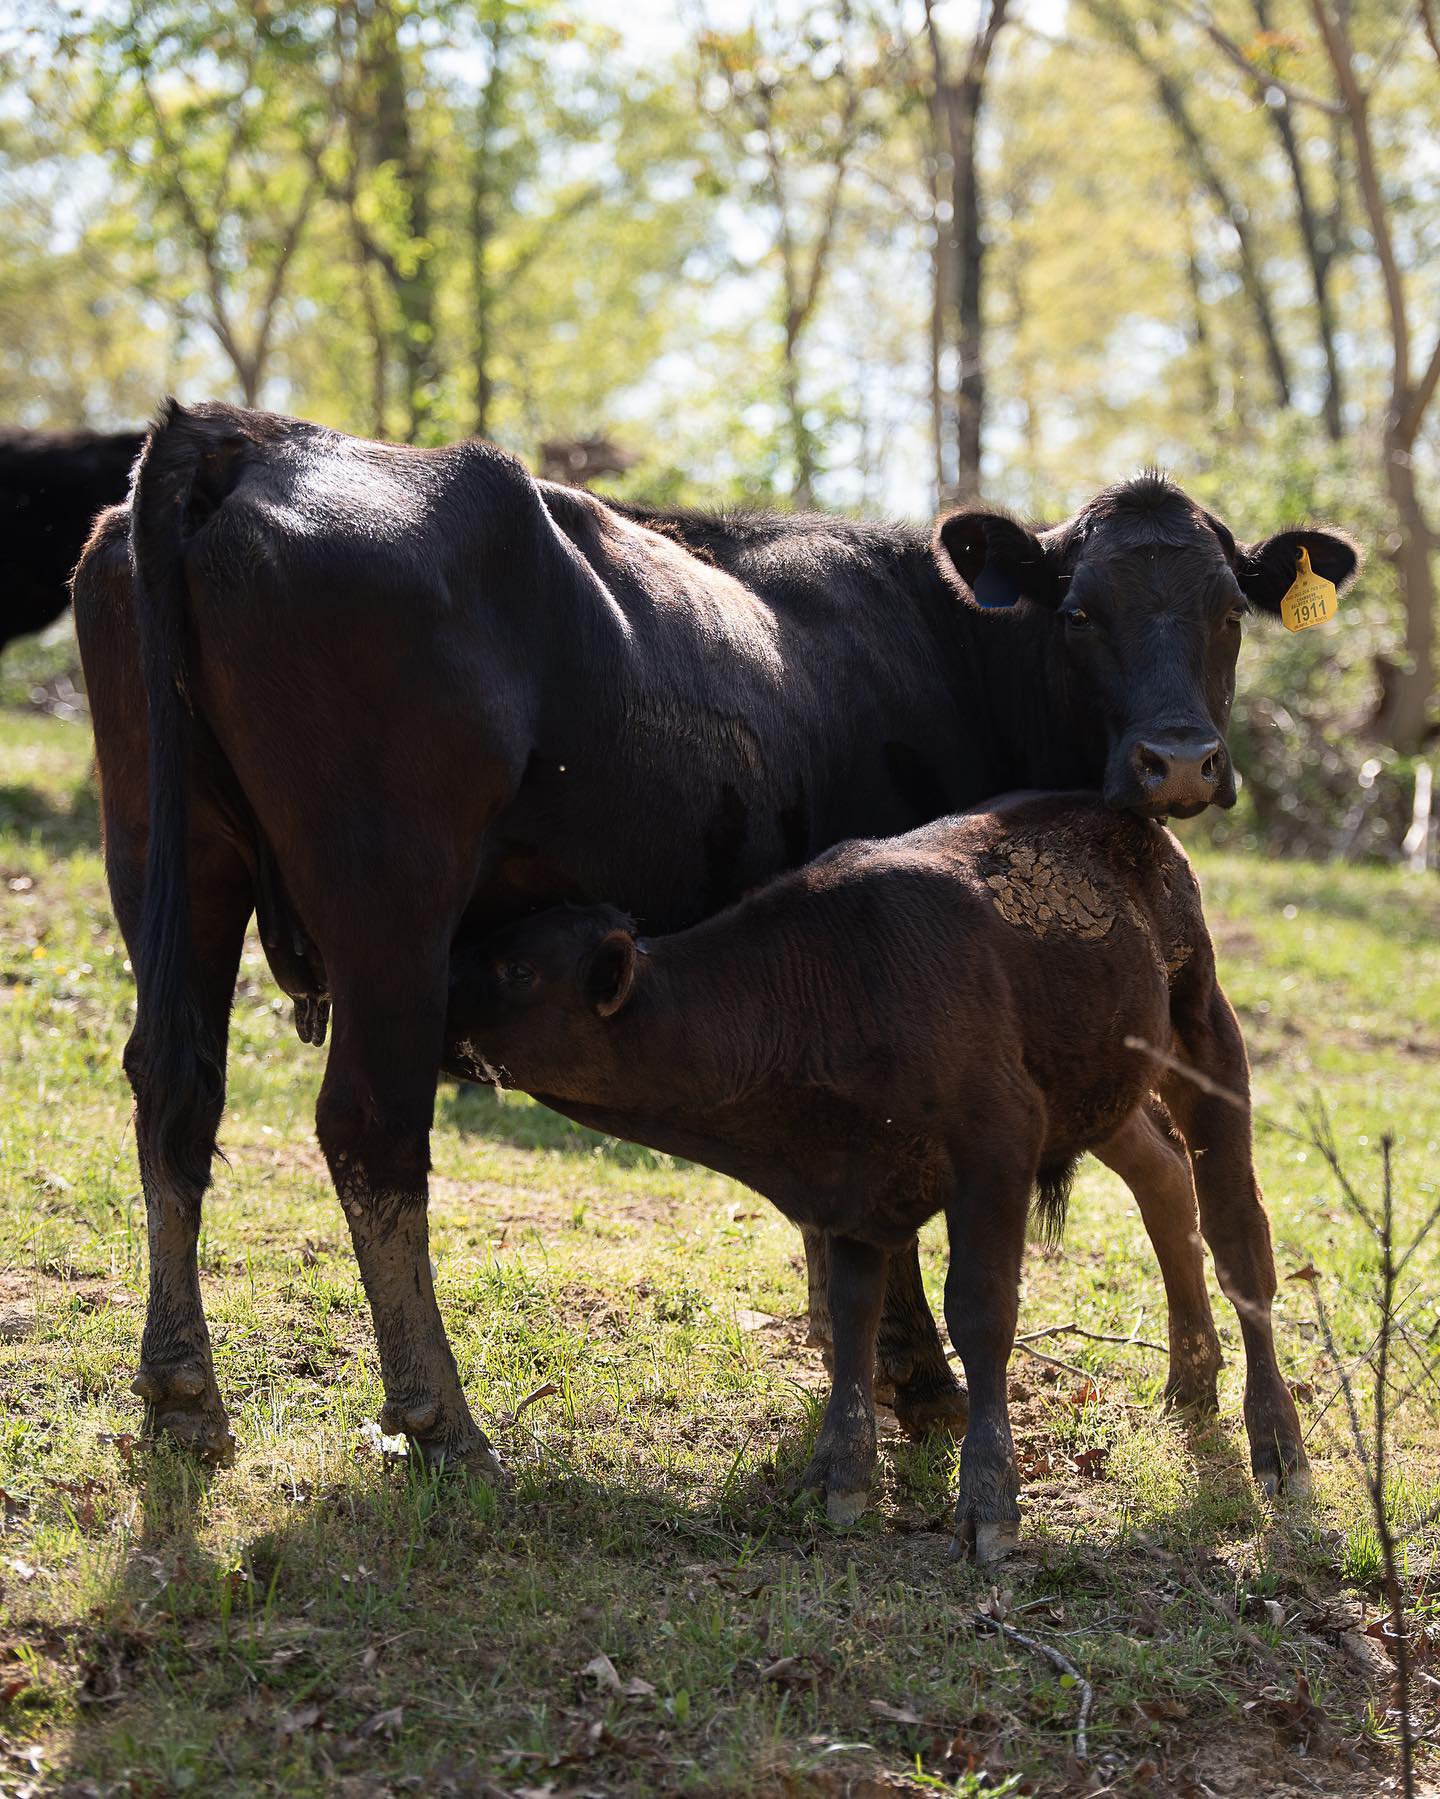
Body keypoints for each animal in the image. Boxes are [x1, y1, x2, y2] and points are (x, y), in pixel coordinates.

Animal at [70, 398, 1358, 1477]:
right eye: (1082, 612)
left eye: (1229, 612)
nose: (1178, 761)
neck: (953, 647)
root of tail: (247, 438)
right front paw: (917, 1378)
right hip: (390, 899)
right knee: (371, 1130)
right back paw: (444, 1422)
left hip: (166, 857)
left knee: (174, 1087)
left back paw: (182, 1393)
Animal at [444, 791, 1310, 1558]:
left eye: (518, 969)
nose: (438, 997)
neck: (821, 988)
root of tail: (1137, 828)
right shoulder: (851, 1187)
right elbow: (852, 1317)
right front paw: (838, 1479)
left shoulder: (996, 1152)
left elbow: (980, 1313)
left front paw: (989, 1505)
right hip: (1105, 1094)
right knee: (1163, 1180)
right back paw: (1188, 1385)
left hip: (1206, 1040)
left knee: (1240, 1235)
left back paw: (1278, 1450)